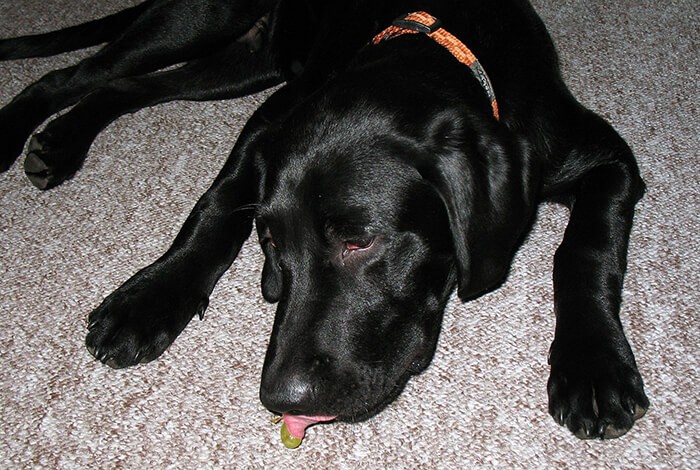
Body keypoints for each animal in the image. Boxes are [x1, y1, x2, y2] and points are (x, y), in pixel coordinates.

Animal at [0, 0, 652, 440]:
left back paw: (59, 140)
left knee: (134, 83)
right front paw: (150, 297)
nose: (280, 399)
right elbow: (215, 208)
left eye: (360, 241)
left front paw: (592, 367)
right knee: (79, 73)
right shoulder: (268, 127)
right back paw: (31, 134)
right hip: (204, 21)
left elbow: (585, 250)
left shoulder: (609, 160)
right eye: (270, 243)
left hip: (246, 63)